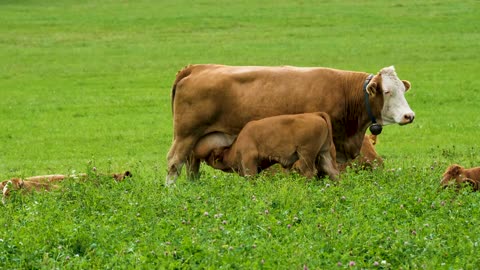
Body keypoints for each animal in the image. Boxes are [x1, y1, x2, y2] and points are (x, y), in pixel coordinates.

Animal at [194, 113, 338, 180]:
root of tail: (315, 114)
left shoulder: (249, 160)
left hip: (306, 155)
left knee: (307, 171)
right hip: (324, 154)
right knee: (333, 172)